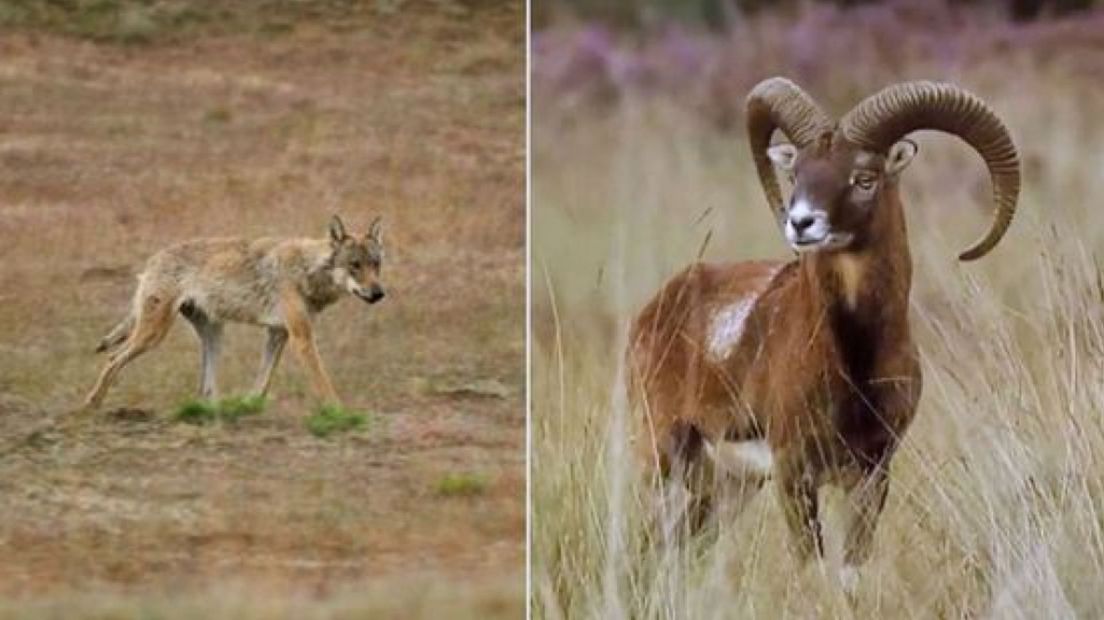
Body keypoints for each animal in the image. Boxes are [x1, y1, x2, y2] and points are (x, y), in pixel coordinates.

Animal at [81, 214, 386, 410]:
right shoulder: (301, 338)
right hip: (153, 335)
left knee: (205, 389)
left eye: (376, 265)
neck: (307, 269)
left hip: (215, 336)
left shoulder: (279, 334)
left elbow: (262, 383)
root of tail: (153, 259)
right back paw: (91, 404)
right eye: (355, 266)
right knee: (112, 359)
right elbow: (323, 383)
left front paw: (248, 405)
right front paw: (341, 414)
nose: (379, 294)